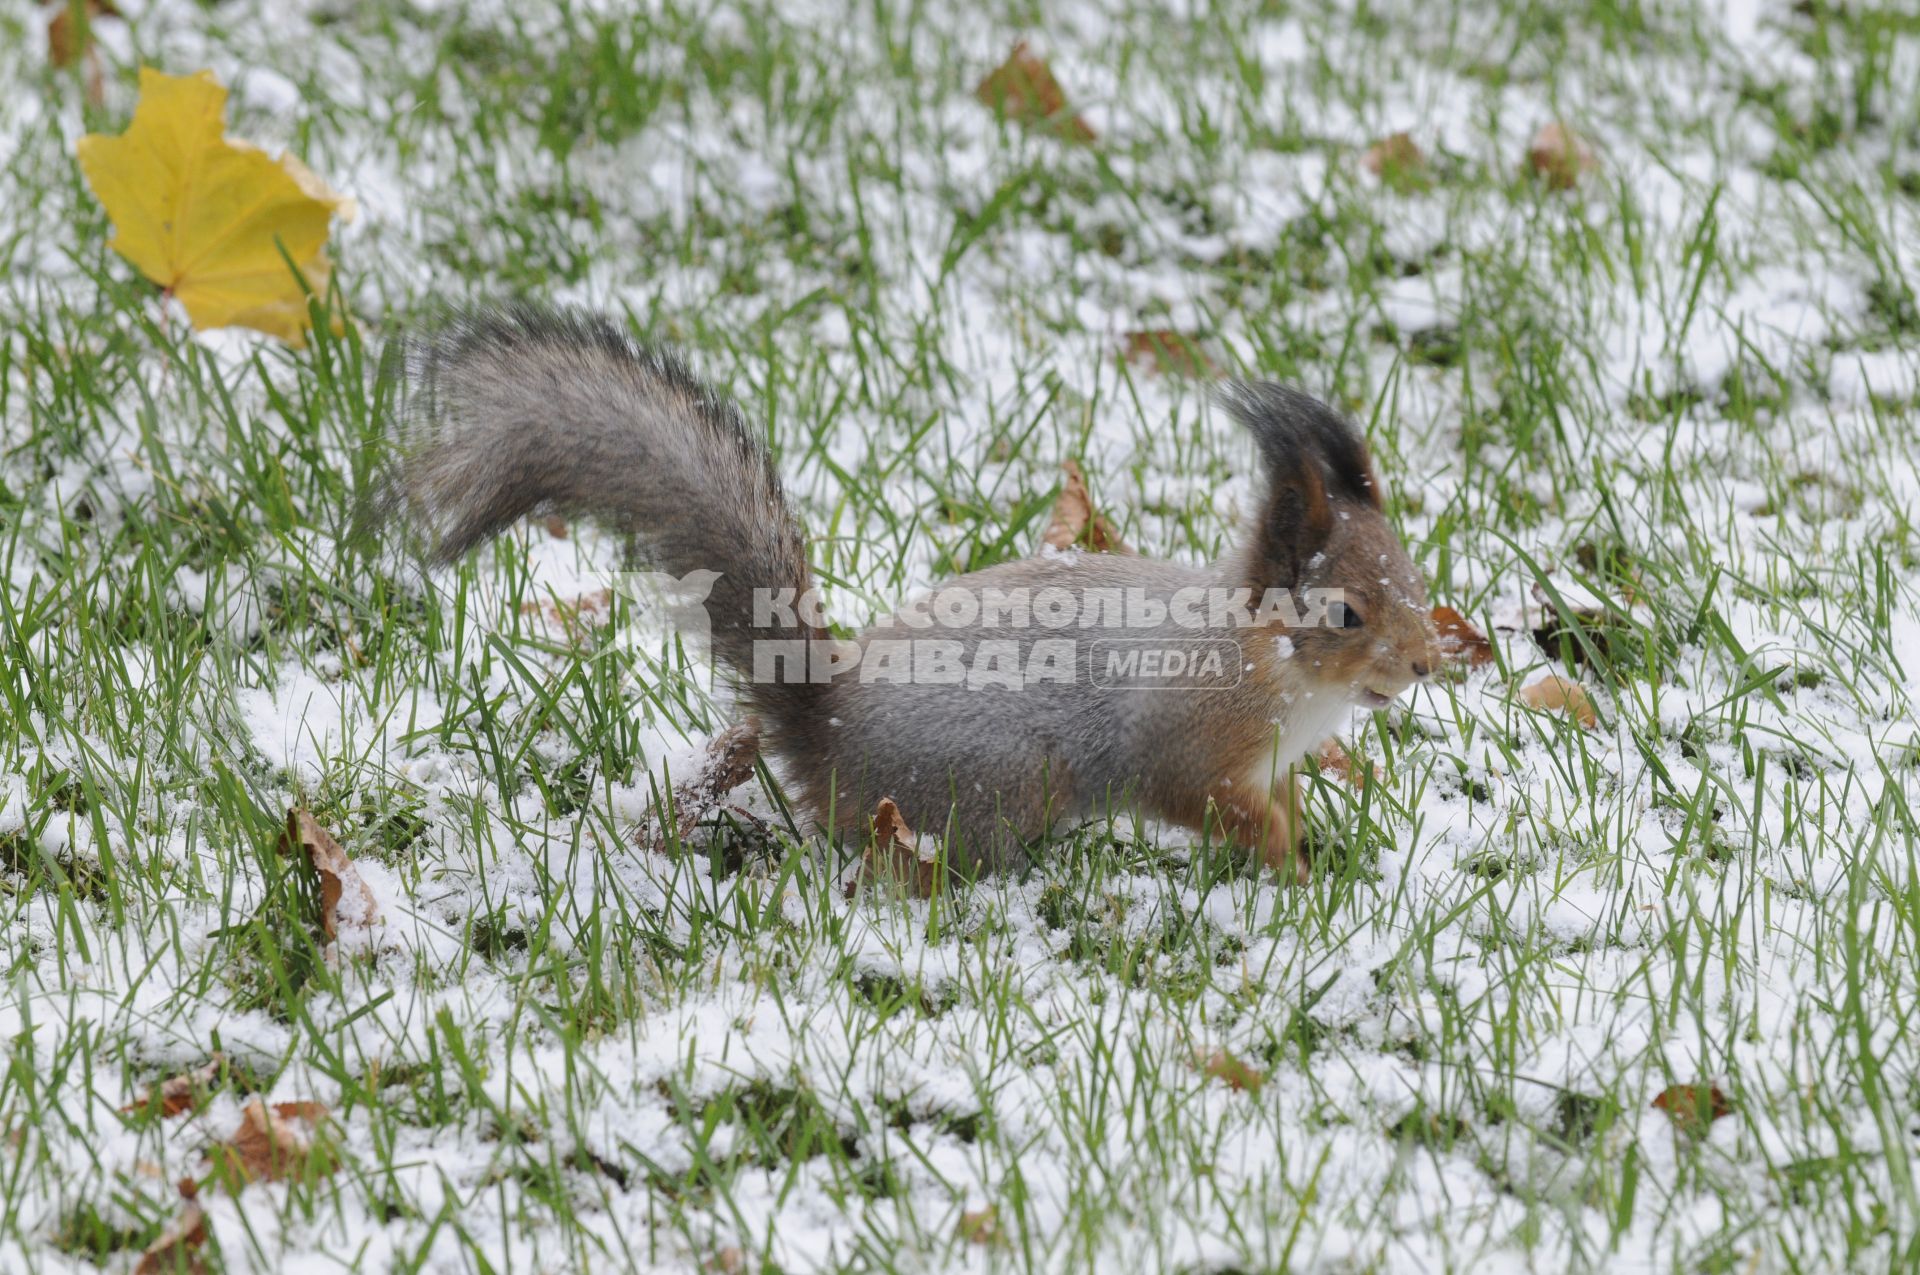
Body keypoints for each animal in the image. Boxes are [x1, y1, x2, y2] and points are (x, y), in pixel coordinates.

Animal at [374, 305, 1436, 883]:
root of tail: (828, 731)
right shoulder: (1190, 744)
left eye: (1418, 579)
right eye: (1345, 611)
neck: (1274, 664)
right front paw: (1291, 867)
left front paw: (1317, 849)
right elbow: (1210, 805)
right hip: (1008, 776)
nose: (1429, 661)